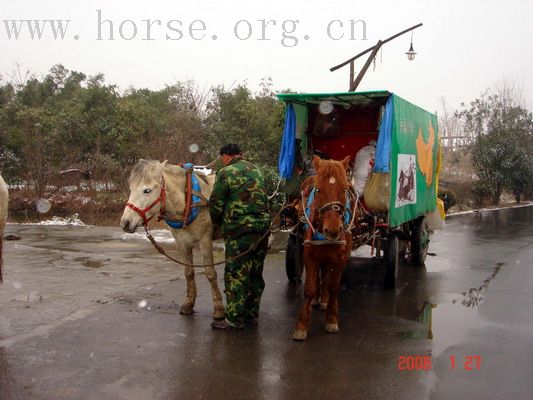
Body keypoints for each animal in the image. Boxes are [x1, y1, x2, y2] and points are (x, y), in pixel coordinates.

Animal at [120, 159, 224, 318]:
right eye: (131, 189)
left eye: (147, 190)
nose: (125, 222)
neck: (188, 203)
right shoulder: (182, 243)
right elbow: (188, 273)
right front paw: (188, 304)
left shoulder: (205, 241)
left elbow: (210, 273)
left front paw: (218, 309)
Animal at [290, 156, 354, 340]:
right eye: (318, 190)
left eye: (344, 189)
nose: (332, 230)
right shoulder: (310, 254)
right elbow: (309, 289)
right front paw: (302, 326)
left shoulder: (341, 257)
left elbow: (333, 287)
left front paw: (332, 319)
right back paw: (318, 299)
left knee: (326, 276)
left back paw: (324, 299)